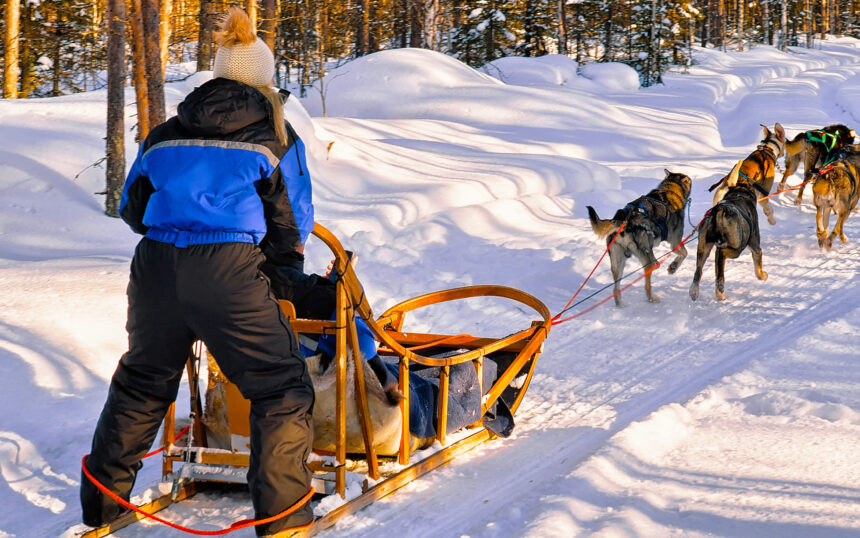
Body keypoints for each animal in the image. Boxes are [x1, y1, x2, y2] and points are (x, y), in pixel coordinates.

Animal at [584, 172, 692, 306]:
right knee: (648, 280)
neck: (669, 190)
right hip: (645, 257)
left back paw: (620, 304)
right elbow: (684, 253)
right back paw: (652, 298)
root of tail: (624, 222)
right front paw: (673, 267)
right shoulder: (675, 242)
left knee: (616, 288)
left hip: (618, 263)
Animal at [692, 159, 764, 302]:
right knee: (721, 255)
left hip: (703, 249)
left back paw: (697, 291)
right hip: (736, 248)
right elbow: (758, 266)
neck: (739, 193)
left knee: (700, 271)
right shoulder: (755, 247)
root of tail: (720, 210)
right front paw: (763, 275)